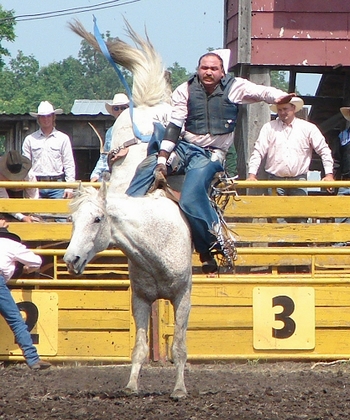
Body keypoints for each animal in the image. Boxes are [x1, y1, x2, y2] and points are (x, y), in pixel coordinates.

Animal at [64, 185, 193, 400]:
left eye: (97, 218)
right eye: (72, 219)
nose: (71, 260)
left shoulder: (182, 297)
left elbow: (179, 347)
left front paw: (179, 389)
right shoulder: (141, 299)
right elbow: (139, 348)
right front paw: (131, 386)